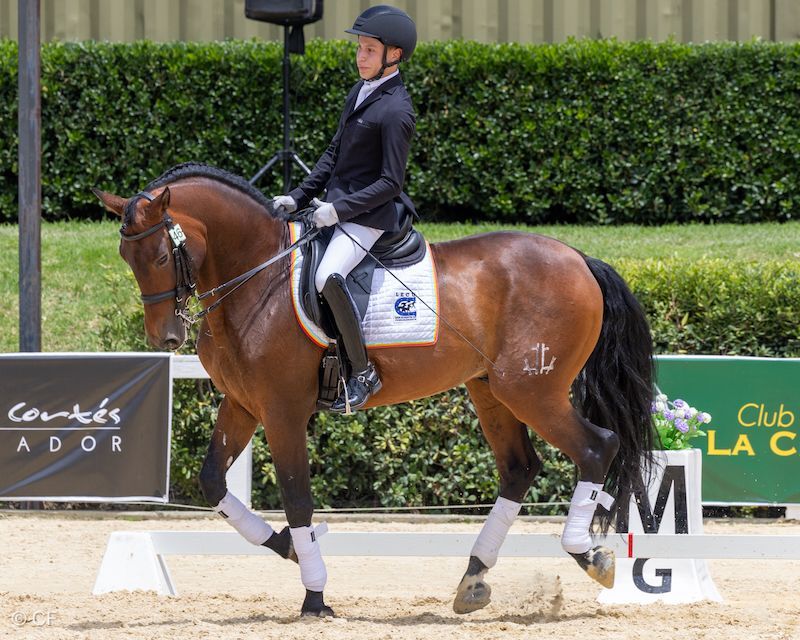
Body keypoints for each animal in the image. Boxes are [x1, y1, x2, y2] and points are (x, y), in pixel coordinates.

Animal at [94, 162, 654, 617]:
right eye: (126, 255)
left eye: (161, 255)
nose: (165, 337)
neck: (257, 275)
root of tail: (579, 257)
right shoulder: (242, 404)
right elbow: (213, 482)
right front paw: (291, 548)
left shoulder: (281, 411)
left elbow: (298, 499)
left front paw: (315, 596)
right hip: (490, 390)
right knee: (520, 468)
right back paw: (473, 578)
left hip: (531, 391)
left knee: (596, 447)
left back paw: (589, 555)